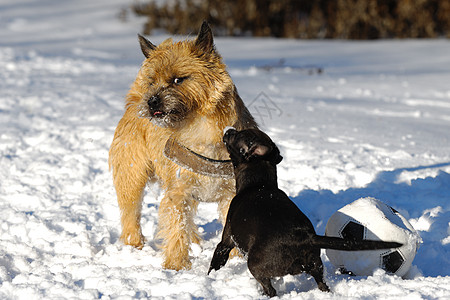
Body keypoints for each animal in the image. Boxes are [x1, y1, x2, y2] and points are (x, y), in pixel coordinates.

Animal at [109, 21, 256, 270]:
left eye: (178, 80)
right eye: (152, 81)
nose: (152, 101)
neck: (199, 130)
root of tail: (134, 100)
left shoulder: (230, 195)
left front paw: (236, 260)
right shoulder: (177, 193)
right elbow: (176, 227)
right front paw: (176, 265)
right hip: (132, 175)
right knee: (131, 212)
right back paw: (134, 243)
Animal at [209, 128, 402, 298]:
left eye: (238, 135)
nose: (229, 130)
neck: (259, 183)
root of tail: (303, 237)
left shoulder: (226, 240)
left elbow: (215, 261)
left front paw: (209, 278)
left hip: (255, 264)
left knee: (270, 289)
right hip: (316, 266)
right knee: (322, 284)